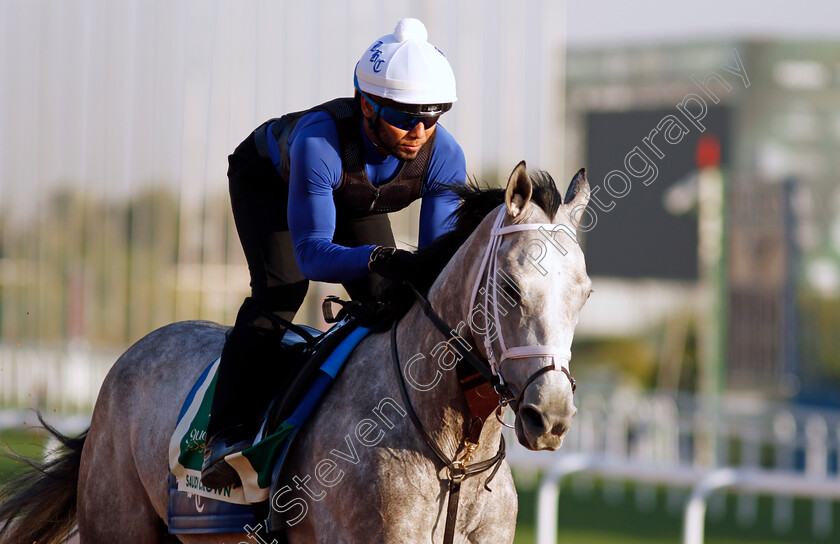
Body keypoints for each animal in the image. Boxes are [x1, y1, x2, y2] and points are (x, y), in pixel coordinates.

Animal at [0, 162, 592, 544]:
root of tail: (129, 357)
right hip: (118, 523)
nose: (552, 417)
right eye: (511, 288)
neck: (454, 456)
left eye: (585, 293)